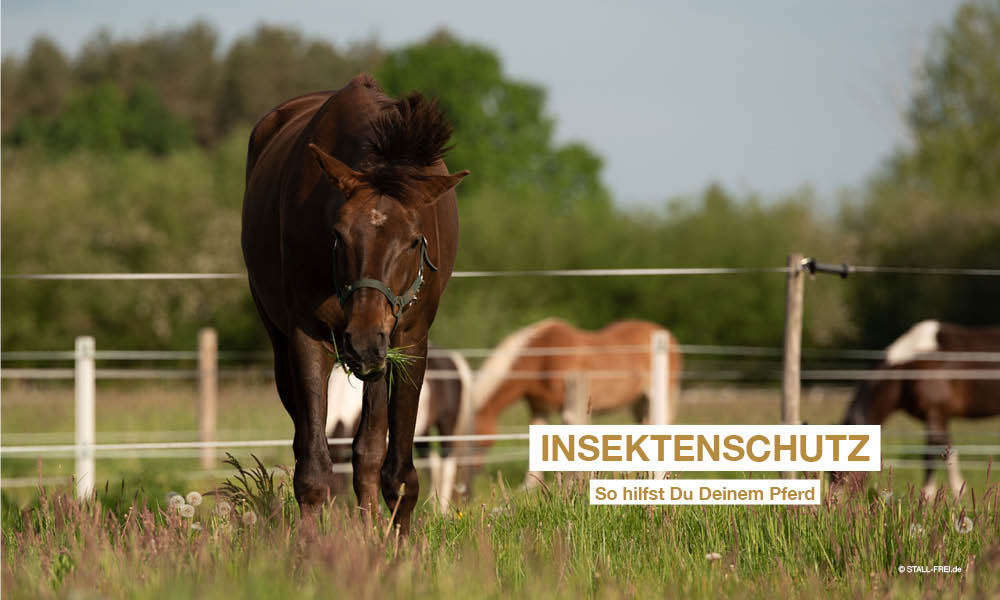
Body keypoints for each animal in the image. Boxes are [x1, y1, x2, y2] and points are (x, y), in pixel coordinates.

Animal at [324, 346, 472, 510]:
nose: (330, 510)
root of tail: (453, 359)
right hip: (424, 434)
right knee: (433, 465)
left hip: (447, 425)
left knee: (447, 464)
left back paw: (442, 509)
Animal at [474, 318, 680, 440]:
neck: (542, 357)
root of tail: (668, 335)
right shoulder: (540, 407)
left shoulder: (569, 408)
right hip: (639, 402)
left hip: (659, 395)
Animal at [840, 322, 1000, 500]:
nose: (836, 500)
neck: (910, 368)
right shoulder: (941, 417)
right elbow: (947, 449)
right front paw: (958, 492)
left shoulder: (935, 413)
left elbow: (930, 454)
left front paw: (928, 495)